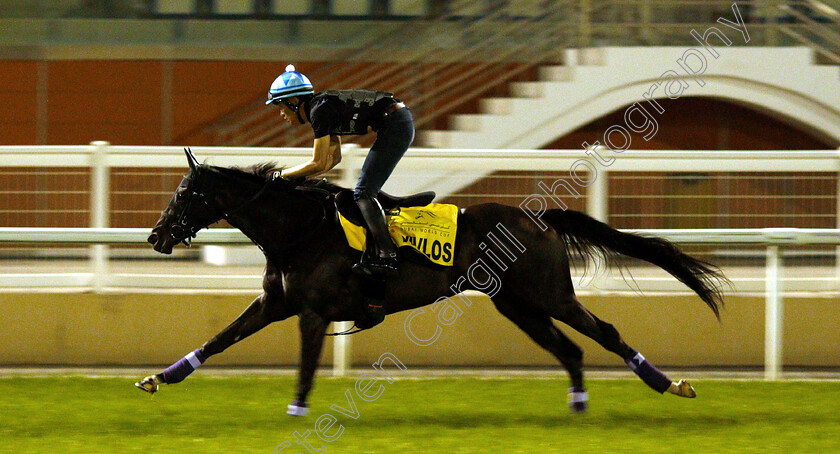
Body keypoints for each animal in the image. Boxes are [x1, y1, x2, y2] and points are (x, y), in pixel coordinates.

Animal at [135, 149, 724, 414]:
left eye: (184, 193)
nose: (156, 235)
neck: (298, 230)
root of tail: (540, 218)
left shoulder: (313, 313)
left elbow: (304, 367)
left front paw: (297, 411)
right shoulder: (273, 304)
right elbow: (218, 340)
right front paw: (160, 377)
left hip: (549, 294)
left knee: (604, 332)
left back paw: (669, 384)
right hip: (518, 305)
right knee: (571, 350)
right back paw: (578, 407)